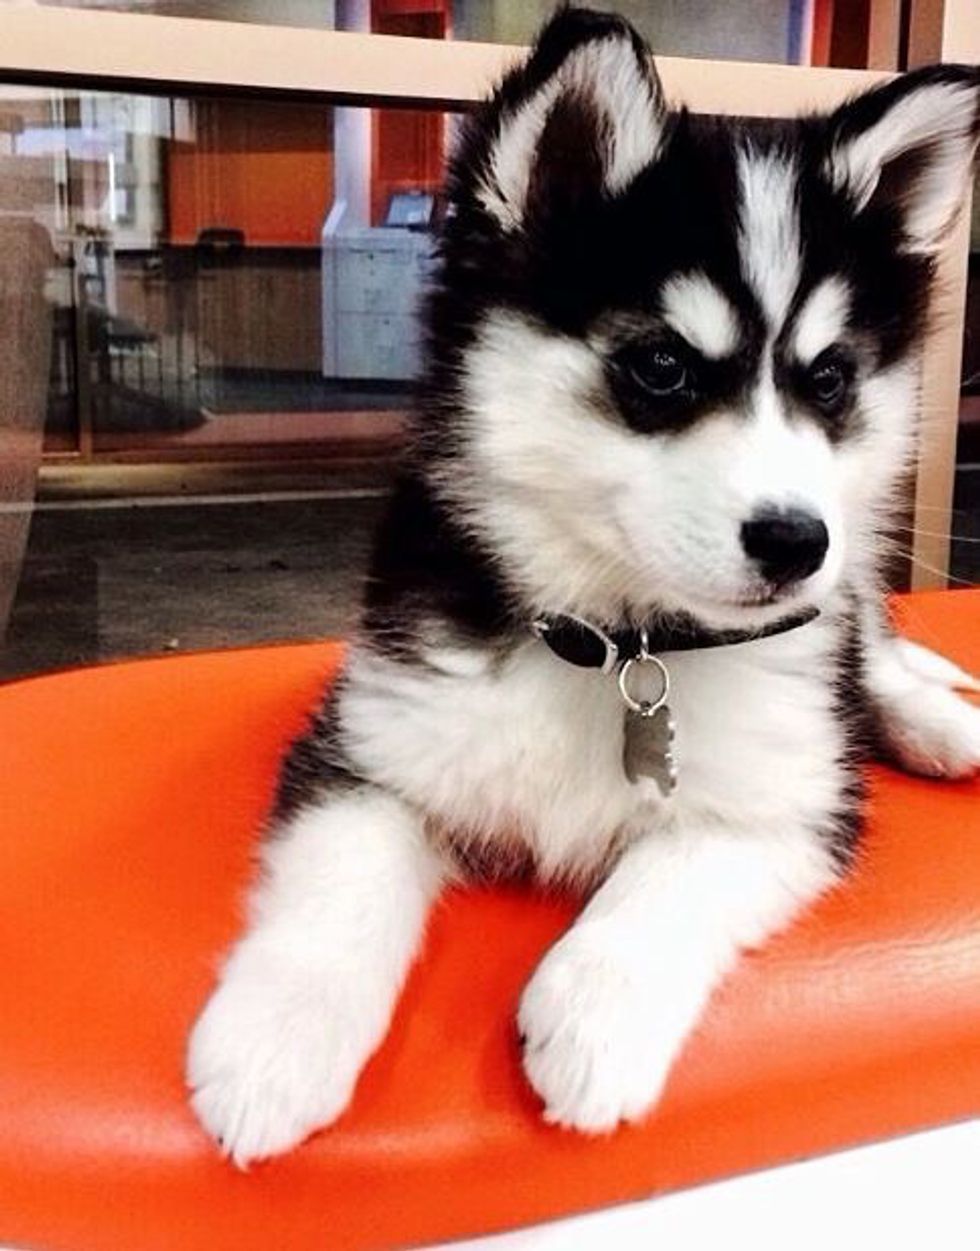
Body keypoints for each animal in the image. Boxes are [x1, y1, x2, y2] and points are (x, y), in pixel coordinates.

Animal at [187, 7, 980, 1165]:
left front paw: (593, 1017)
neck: (625, 644)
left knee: (869, 656)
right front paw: (272, 1043)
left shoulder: (787, 805)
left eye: (828, 379)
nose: (798, 541)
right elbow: (340, 879)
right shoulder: (372, 745)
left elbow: (673, 875)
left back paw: (940, 724)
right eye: (659, 367)